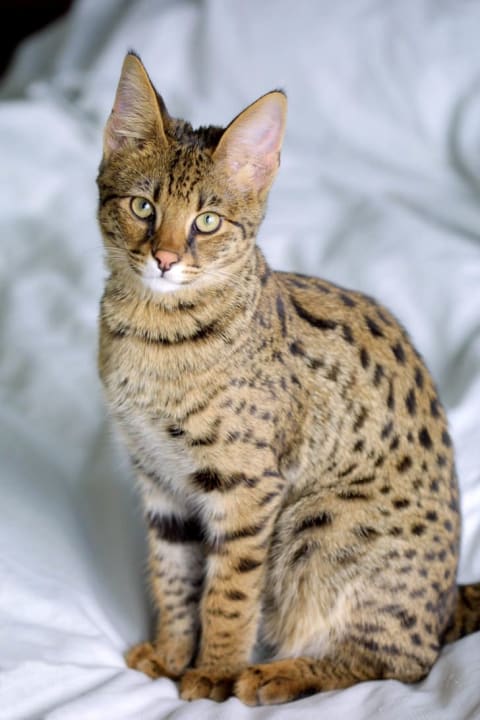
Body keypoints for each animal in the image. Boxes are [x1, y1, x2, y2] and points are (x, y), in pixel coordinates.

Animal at [94, 53, 480, 704]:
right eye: (143, 207)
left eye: (207, 221)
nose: (165, 259)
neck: (152, 333)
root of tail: (447, 601)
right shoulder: (160, 480)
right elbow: (173, 578)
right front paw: (171, 655)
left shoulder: (247, 486)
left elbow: (227, 593)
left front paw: (212, 673)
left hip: (321, 524)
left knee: (405, 662)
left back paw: (277, 674)